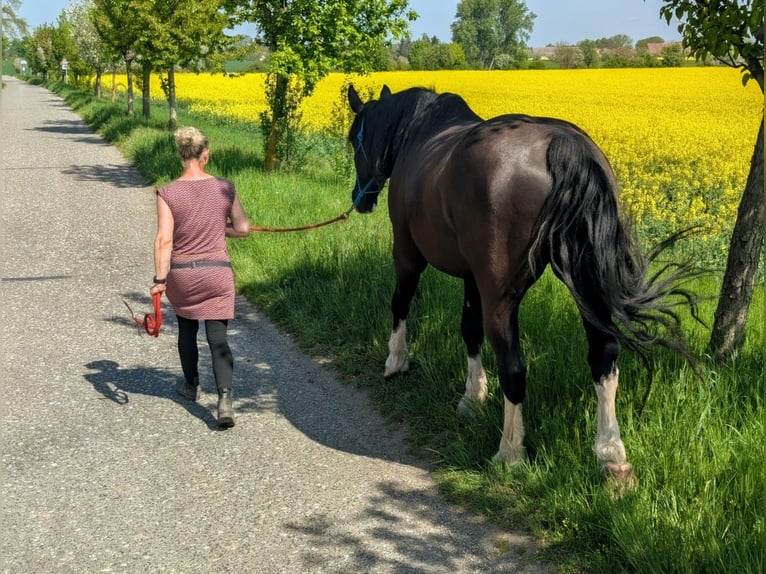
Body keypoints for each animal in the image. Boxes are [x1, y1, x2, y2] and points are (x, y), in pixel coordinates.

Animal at [346, 84, 699, 485]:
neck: (419, 133)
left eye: (355, 139)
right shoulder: (473, 277)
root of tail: (564, 146)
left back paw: (509, 453)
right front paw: (472, 398)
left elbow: (401, 303)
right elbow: (469, 330)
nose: (360, 200)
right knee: (604, 355)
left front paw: (396, 361)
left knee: (514, 368)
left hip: (501, 298)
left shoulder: (408, 254)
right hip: (586, 285)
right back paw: (611, 456)